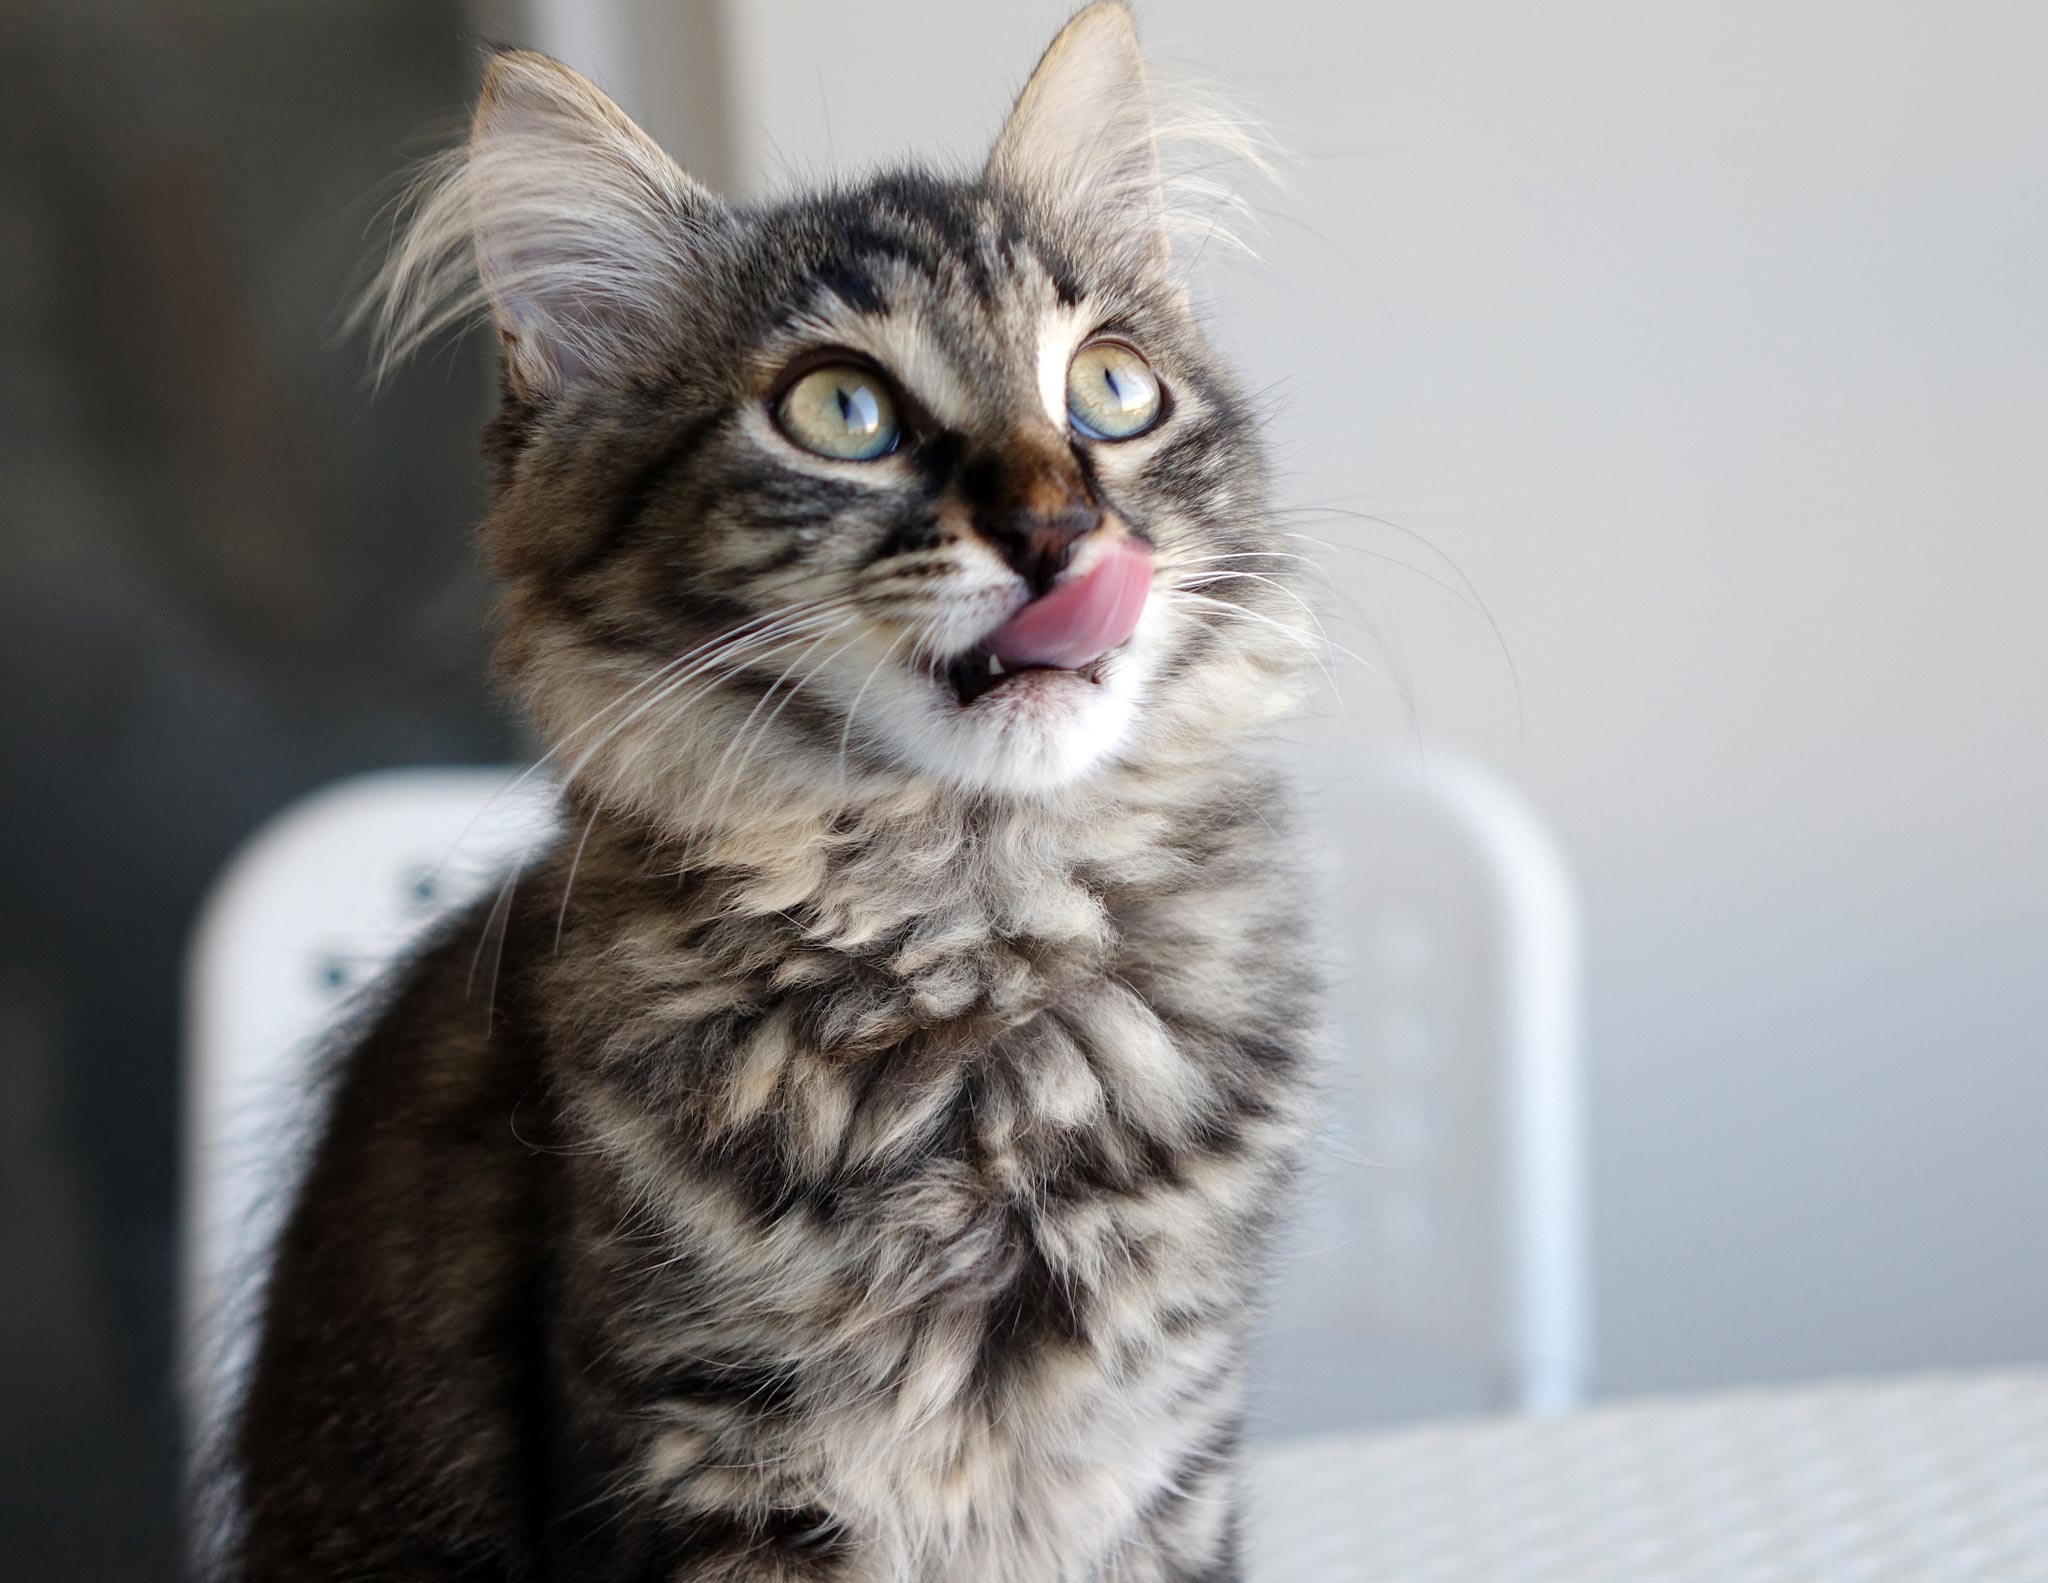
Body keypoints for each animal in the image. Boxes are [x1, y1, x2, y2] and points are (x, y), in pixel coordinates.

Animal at [220, 6, 1310, 1572]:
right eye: (841, 410)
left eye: (1110, 388)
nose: (1061, 528)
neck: (974, 938)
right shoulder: (711, 1462)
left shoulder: (1159, 1462)